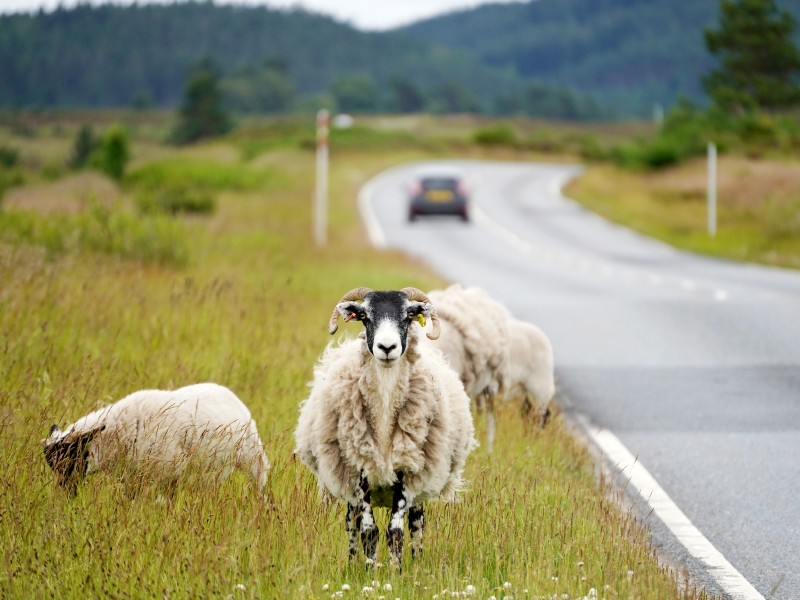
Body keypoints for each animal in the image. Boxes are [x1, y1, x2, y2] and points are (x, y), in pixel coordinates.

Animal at [42, 382, 269, 496]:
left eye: (71, 457)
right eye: (53, 466)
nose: (67, 493)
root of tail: (229, 393)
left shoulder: (170, 467)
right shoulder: (134, 477)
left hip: (252, 455)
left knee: (259, 481)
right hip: (214, 468)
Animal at [294, 287, 477, 568]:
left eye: (408, 315)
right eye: (365, 316)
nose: (387, 347)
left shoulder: (405, 470)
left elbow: (396, 531)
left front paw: (396, 570)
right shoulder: (360, 470)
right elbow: (369, 531)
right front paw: (370, 570)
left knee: (417, 523)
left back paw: (416, 560)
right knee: (352, 522)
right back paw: (353, 563)